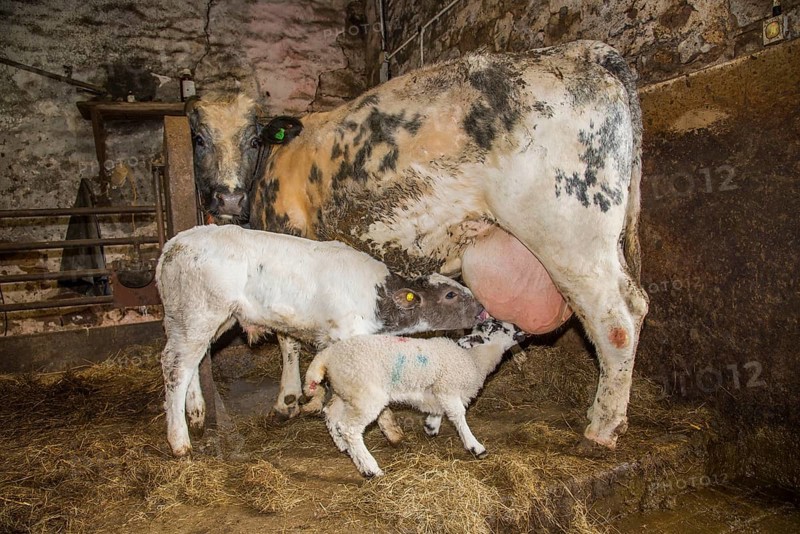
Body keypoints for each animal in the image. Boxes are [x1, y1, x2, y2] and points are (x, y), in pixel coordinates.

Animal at [156, 224, 487, 457]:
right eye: (451, 295)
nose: (483, 310)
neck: (378, 299)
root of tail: (174, 244)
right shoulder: (347, 338)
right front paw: (390, 430)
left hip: (202, 320)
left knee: (193, 362)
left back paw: (197, 415)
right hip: (199, 313)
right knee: (175, 368)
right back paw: (179, 440)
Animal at [303, 319, 525, 477]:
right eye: (498, 327)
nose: (521, 328)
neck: (473, 359)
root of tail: (327, 355)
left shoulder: (438, 390)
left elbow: (439, 410)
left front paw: (431, 425)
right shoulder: (448, 387)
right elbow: (458, 416)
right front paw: (474, 446)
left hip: (347, 391)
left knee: (331, 414)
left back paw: (344, 446)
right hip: (365, 394)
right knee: (349, 428)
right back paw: (370, 468)